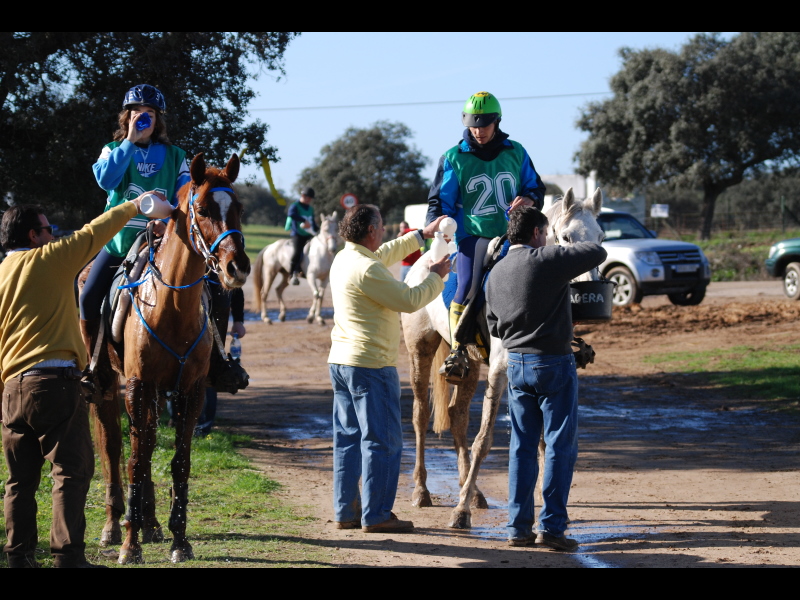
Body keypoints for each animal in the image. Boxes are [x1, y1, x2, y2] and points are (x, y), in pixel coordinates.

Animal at [80, 154, 250, 564]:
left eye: (238, 208)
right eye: (202, 209)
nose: (237, 267)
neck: (171, 307)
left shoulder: (190, 391)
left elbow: (179, 461)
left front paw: (179, 539)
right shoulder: (137, 386)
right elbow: (135, 460)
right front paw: (130, 546)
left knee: (148, 441)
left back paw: (150, 523)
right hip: (108, 385)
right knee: (114, 446)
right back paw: (115, 526)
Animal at [400, 188, 600, 528]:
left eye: (600, 236)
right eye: (567, 237)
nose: (589, 287)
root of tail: (423, 262)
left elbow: (542, 440)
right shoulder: (500, 370)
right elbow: (484, 440)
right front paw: (460, 511)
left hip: (468, 366)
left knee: (456, 414)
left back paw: (474, 492)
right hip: (420, 350)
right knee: (420, 414)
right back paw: (421, 490)